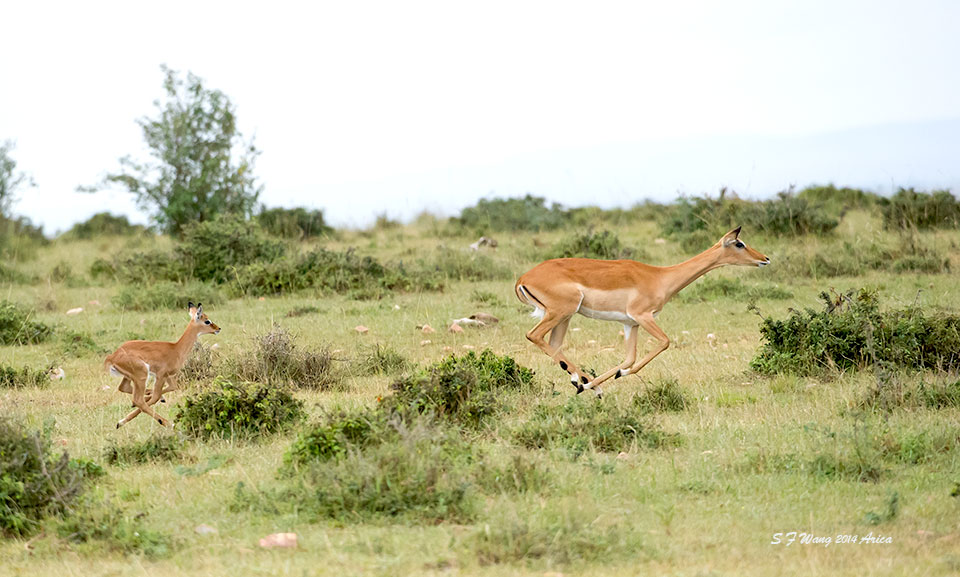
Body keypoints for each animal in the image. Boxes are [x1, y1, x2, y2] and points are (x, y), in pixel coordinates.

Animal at [515, 226, 769, 398]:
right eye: (739, 243)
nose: (765, 258)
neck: (660, 277)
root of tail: (523, 278)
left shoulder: (631, 324)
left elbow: (630, 358)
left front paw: (610, 377)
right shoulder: (643, 317)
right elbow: (664, 342)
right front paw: (613, 377)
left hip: (565, 317)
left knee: (554, 345)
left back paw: (588, 384)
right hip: (561, 312)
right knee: (534, 335)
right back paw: (584, 382)